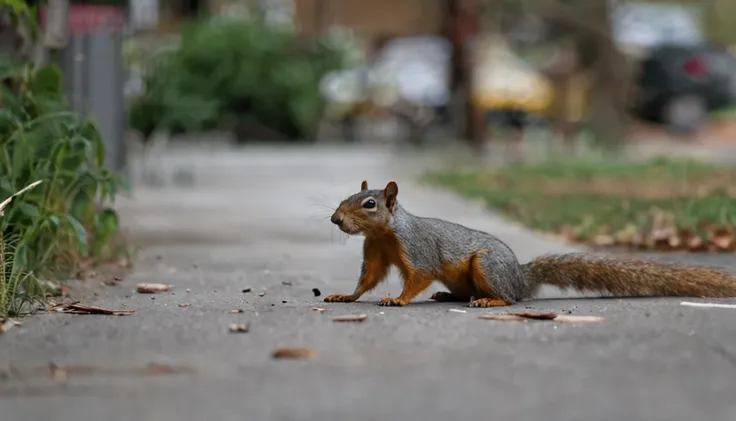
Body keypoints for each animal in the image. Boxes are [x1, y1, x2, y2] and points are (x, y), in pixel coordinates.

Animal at [324, 179, 736, 306]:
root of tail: (522, 277)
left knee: (509, 299)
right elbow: (368, 278)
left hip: (487, 265)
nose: (335, 219)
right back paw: (449, 296)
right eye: (348, 196)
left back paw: (489, 300)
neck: (385, 234)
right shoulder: (375, 252)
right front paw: (345, 296)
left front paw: (398, 299)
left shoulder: (417, 249)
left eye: (370, 204)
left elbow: (418, 276)